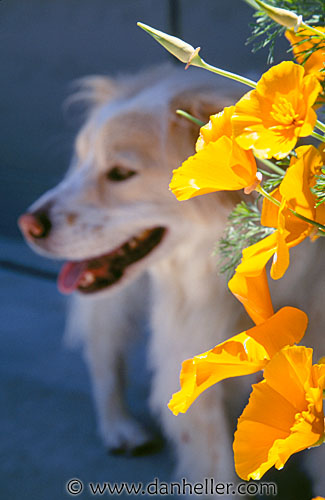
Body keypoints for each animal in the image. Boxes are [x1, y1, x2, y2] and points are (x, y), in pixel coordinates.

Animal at [19, 66, 322, 496]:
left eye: (121, 173)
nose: (27, 226)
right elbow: (216, 471)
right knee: (102, 352)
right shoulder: (194, 371)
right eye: (83, 161)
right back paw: (119, 428)